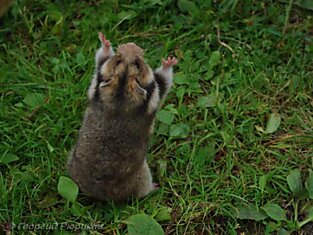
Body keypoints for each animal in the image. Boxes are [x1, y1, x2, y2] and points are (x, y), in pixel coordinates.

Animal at [66, 31, 177, 202]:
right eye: (119, 59)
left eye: (137, 63)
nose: (130, 44)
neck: (122, 89)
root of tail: (100, 196)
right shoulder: (156, 93)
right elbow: (164, 80)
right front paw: (169, 61)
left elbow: (101, 59)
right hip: (144, 175)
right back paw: (155, 187)